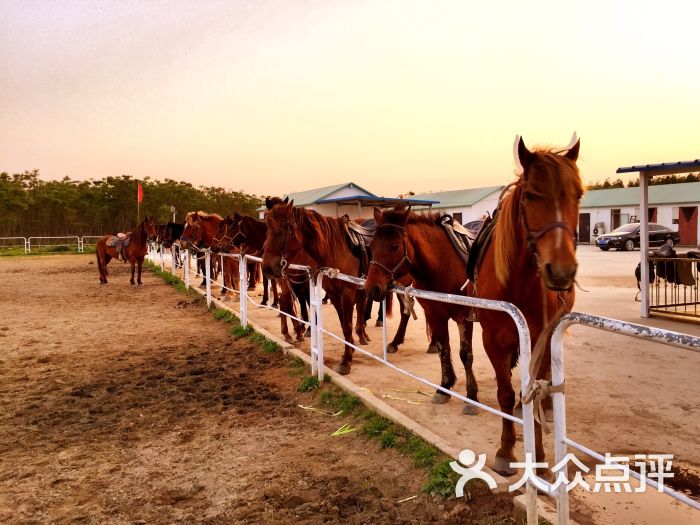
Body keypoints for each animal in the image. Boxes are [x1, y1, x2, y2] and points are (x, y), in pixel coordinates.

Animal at [262, 196, 372, 372]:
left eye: (282, 229)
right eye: (268, 228)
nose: (267, 267)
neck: (335, 250)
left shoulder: (346, 294)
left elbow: (347, 325)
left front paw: (346, 361)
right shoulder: (333, 294)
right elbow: (344, 325)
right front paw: (347, 355)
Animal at [360, 206, 482, 414]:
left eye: (395, 246)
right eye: (372, 246)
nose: (372, 289)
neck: (443, 264)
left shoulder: (464, 317)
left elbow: (465, 354)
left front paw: (471, 396)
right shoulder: (435, 315)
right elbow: (443, 349)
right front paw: (444, 387)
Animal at [474, 133, 584, 472]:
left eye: (578, 195)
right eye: (532, 196)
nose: (561, 272)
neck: (516, 285)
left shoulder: (542, 339)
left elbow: (534, 389)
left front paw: (539, 458)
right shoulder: (492, 341)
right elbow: (505, 393)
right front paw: (506, 449)